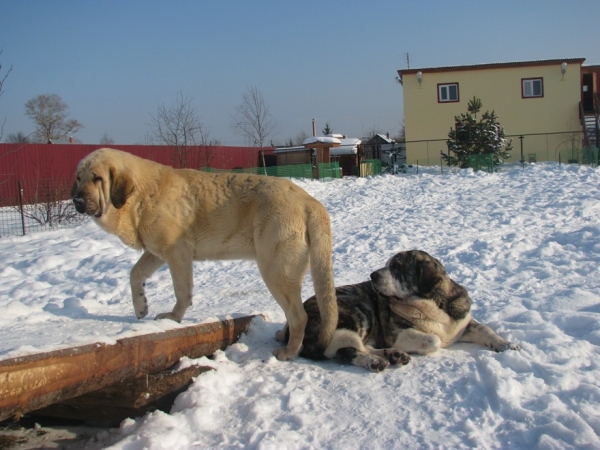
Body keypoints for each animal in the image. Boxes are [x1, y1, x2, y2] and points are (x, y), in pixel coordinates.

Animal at [70, 148, 338, 358]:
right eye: (78, 178)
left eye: (97, 178)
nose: (77, 200)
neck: (140, 195)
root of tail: (309, 201)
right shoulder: (156, 252)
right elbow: (134, 274)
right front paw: (140, 306)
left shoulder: (177, 253)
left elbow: (181, 291)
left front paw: (173, 317)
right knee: (292, 312)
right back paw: (283, 336)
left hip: (274, 270)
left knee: (299, 316)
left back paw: (289, 352)